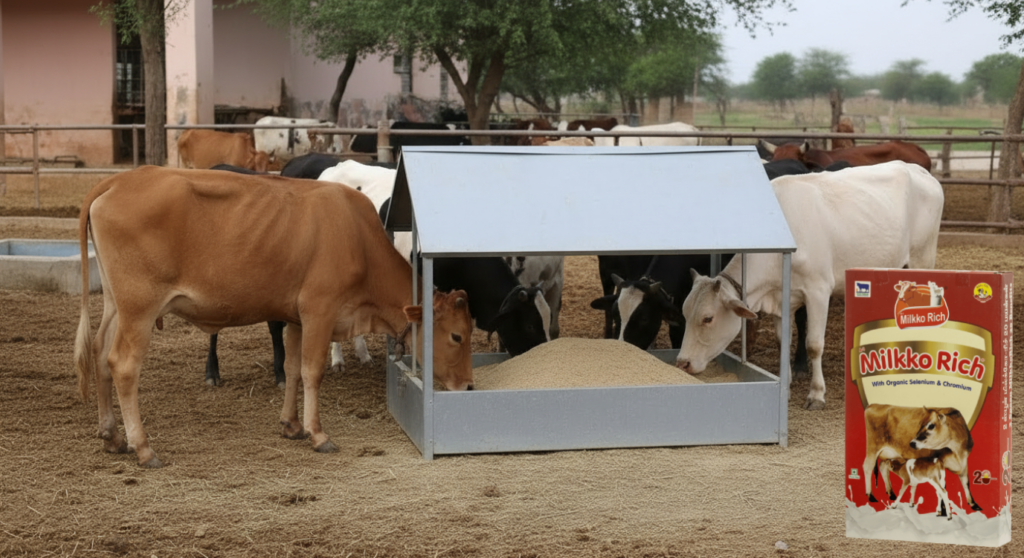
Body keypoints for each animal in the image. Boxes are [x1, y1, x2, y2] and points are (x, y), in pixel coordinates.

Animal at [73, 166, 474, 467]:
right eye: (457, 335)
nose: (469, 386)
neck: (358, 239)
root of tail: (120, 180)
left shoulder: (296, 317)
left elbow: (293, 369)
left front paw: (291, 424)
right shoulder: (319, 310)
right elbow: (313, 371)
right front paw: (318, 433)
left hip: (116, 305)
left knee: (100, 352)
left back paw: (111, 435)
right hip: (139, 308)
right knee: (123, 364)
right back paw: (143, 447)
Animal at [675, 161, 944, 410]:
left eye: (708, 318)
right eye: (685, 313)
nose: (682, 363)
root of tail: (917, 168)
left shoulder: (818, 291)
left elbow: (814, 344)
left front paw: (816, 394)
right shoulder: (782, 298)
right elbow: (783, 341)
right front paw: (786, 386)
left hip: (923, 259)